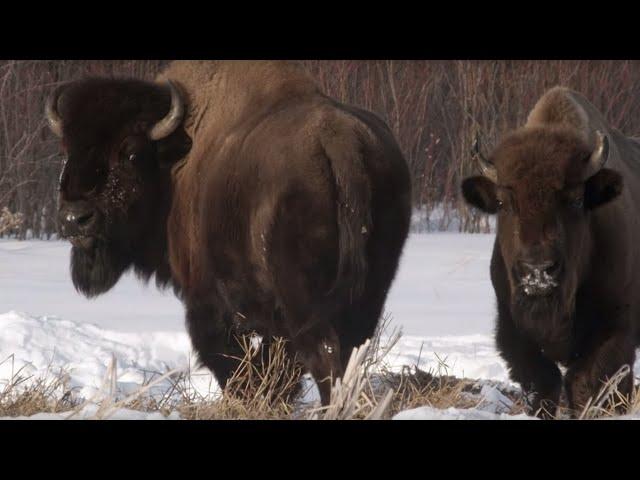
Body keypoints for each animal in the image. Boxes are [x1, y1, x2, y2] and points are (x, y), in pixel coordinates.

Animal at [47, 61, 412, 404]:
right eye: (67, 148)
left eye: (132, 153)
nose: (74, 219)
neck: (173, 162)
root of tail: (340, 142)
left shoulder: (206, 299)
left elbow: (225, 356)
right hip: (370, 289)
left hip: (302, 297)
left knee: (323, 353)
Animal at [462, 86, 640, 416]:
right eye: (503, 203)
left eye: (575, 200)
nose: (538, 271)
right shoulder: (516, 333)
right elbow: (543, 382)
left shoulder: (614, 332)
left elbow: (587, 383)